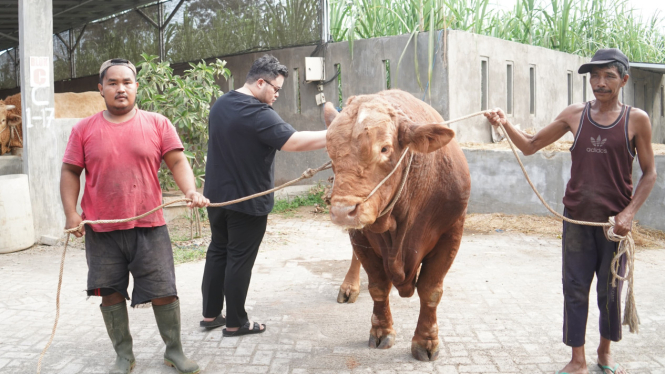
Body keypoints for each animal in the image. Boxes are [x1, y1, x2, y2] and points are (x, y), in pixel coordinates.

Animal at [324, 89, 470, 360]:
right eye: (329, 151)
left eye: (384, 148)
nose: (342, 211)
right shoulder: (362, 238)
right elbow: (378, 287)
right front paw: (381, 331)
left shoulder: (451, 231)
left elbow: (431, 290)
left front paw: (426, 341)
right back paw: (349, 286)